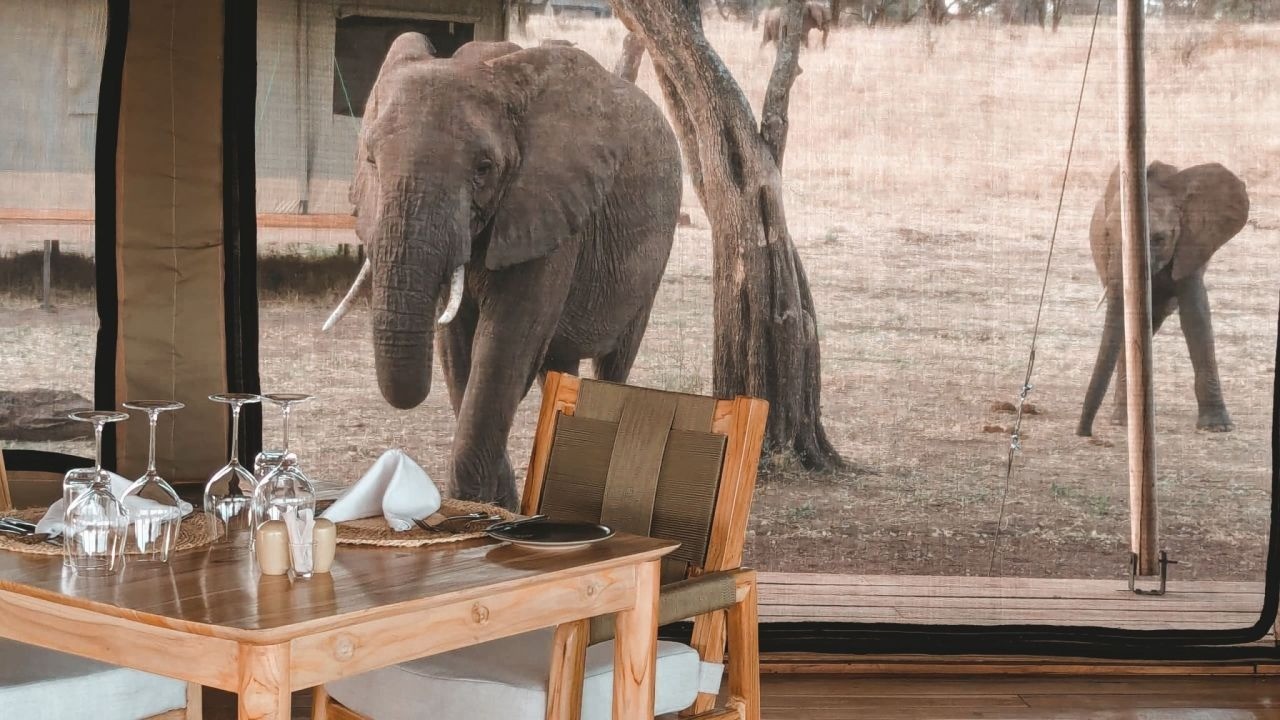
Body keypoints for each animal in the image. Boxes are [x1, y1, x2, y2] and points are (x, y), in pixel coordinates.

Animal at [325, 35, 682, 509]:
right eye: (370, 160)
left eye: (484, 168)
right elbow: (458, 351)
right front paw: (500, 506)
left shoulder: (551, 212)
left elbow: (504, 347)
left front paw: (481, 507)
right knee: (559, 365)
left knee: (616, 360)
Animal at [1076, 161, 1249, 438]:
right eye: (1107, 234)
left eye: (1159, 239)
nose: (1085, 433)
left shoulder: (1192, 244)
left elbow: (1196, 316)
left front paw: (1217, 427)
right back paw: (1124, 419)